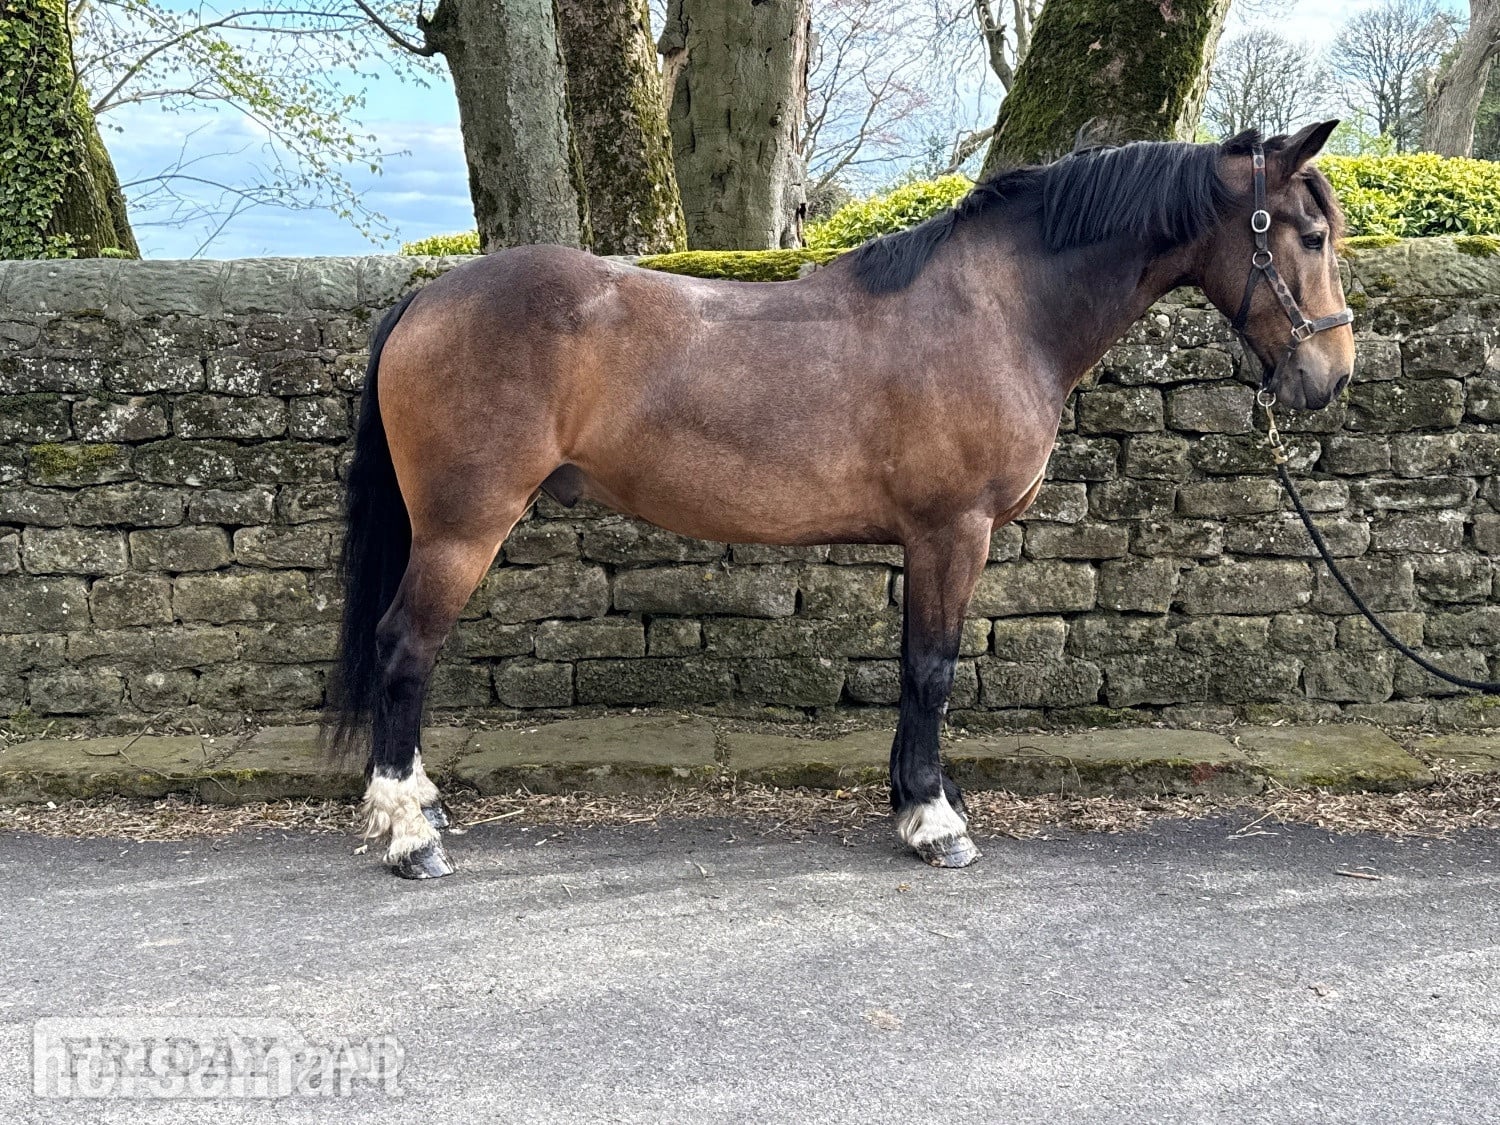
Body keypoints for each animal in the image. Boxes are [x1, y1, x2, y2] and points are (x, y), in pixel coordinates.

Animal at [325, 121, 1355, 879]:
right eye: (1307, 236)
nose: (1331, 376)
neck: (1000, 311)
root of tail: (426, 299)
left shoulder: (927, 541)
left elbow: (912, 667)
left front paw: (916, 801)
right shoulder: (953, 533)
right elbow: (934, 669)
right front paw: (936, 823)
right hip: (461, 529)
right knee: (404, 647)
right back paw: (411, 834)